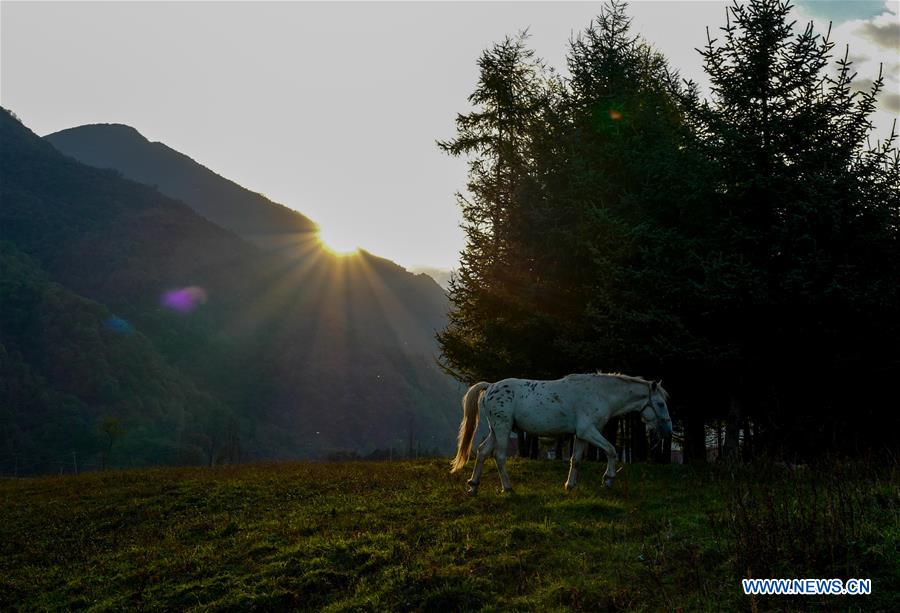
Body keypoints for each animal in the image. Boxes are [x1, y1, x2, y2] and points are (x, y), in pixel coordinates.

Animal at [450, 372, 668, 492]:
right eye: (660, 404)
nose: (667, 429)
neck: (600, 393)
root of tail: (490, 387)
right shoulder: (588, 431)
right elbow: (611, 450)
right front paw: (608, 480)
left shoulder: (581, 435)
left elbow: (576, 460)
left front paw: (570, 486)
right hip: (502, 428)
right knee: (499, 456)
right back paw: (507, 488)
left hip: (496, 430)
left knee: (482, 451)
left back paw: (473, 486)